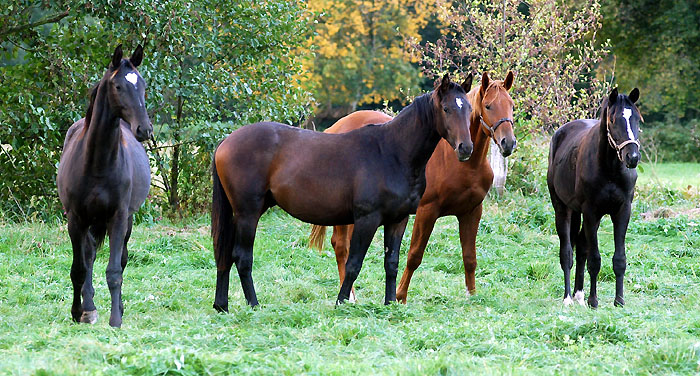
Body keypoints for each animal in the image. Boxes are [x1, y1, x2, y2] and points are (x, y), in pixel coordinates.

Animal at [57, 44, 153, 326]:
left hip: (125, 221)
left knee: (121, 259)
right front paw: (78, 312)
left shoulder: (118, 217)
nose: (144, 129)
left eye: (142, 85)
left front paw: (115, 319)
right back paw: (88, 307)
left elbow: (114, 270)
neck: (97, 163)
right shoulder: (75, 218)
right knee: (88, 256)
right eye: (118, 86)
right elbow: (79, 268)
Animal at [212, 73, 476, 312]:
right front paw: (342, 302)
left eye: (468, 108)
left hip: (240, 214)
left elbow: (391, 263)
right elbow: (353, 263)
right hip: (248, 214)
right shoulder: (367, 220)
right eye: (446, 108)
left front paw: (390, 304)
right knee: (242, 257)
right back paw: (253, 304)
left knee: (225, 255)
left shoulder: (398, 220)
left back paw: (222, 305)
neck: (392, 152)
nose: (465, 148)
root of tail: (226, 142)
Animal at [308, 71, 516, 302]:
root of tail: (337, 126)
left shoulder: (471, 212)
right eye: (488, 106)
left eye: (511, 105)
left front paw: (472, 296)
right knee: (341, 246)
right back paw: (350, 296)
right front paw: (400, 296)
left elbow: (470, 257)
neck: (463, 165)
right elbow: (414, 255)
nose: (508, 143)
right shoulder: (427, 211)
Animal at [548, 88, 644, 308]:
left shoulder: (622, 211)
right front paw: (594, 301)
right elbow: (594, 259)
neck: (610, 170)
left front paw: (619, 300)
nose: (632, 157)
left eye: (637, 119)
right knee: (567, 252)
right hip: (562, 208)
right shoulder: (591, 211)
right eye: (613, 120)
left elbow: (619, 259)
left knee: (581, 247)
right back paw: (568, 297)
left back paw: (579, 295)